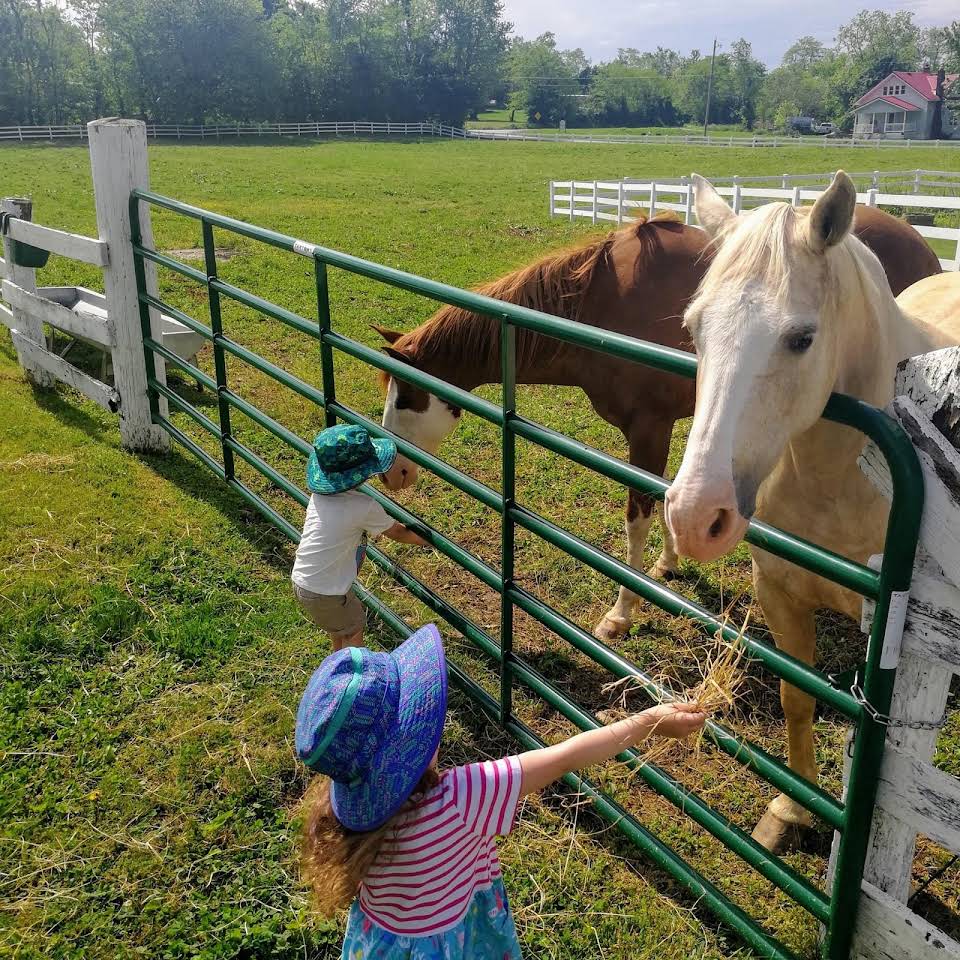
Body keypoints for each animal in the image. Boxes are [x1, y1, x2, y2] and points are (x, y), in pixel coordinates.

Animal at [374, 209, 936, 644]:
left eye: (405, 396)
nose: (391, 473)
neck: (602, 303)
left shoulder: (649, 429)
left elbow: (638, 516)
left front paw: (622, 614)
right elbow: (667, 499)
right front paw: (668, 565)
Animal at [664, 171, 960, 848]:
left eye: (801, 338)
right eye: (694, 328)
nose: (694, 517)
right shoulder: (778, 592)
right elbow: (796, 699)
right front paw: (791, 811)